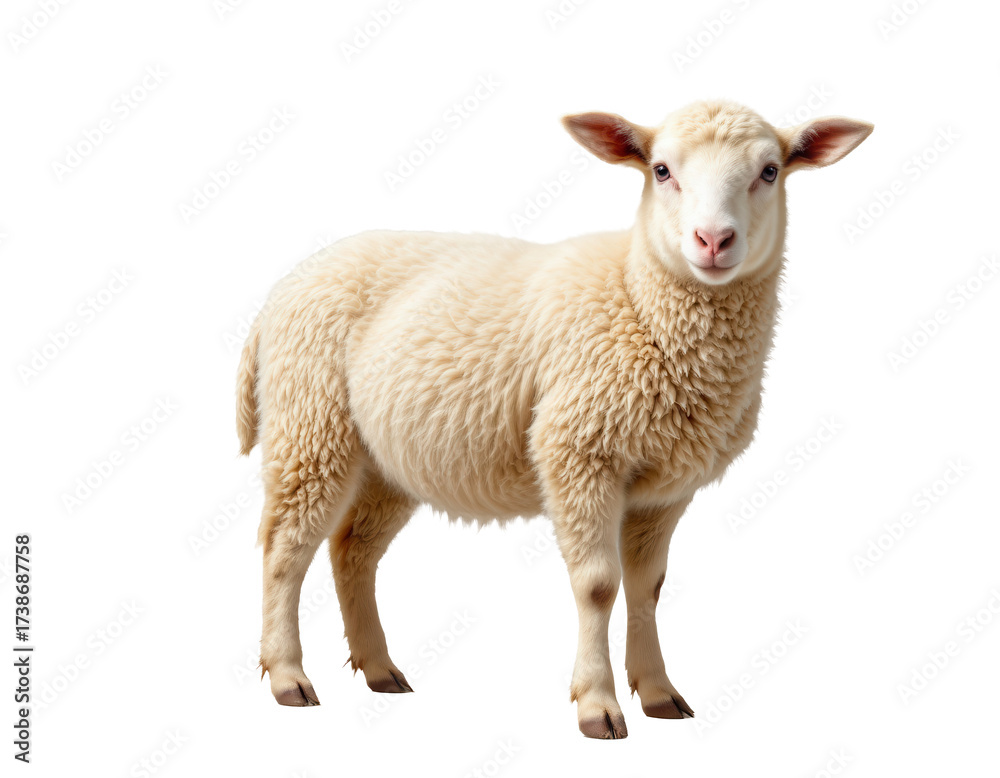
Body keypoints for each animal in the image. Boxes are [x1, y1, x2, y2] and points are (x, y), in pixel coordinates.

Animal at [236, 99, 872, 739]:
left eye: (770, 171)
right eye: (661, 170)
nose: (713, 239)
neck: (638, 297)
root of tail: (280, 292)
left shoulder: (663, 488)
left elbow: (648, 586)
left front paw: (658, 691)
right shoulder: (579, 450)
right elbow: (598, 586)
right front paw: (598, 704)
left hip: (388, 455)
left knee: (352, 548)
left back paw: (378, 668)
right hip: (309, 420)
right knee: (284, 548)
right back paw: (288, 675)